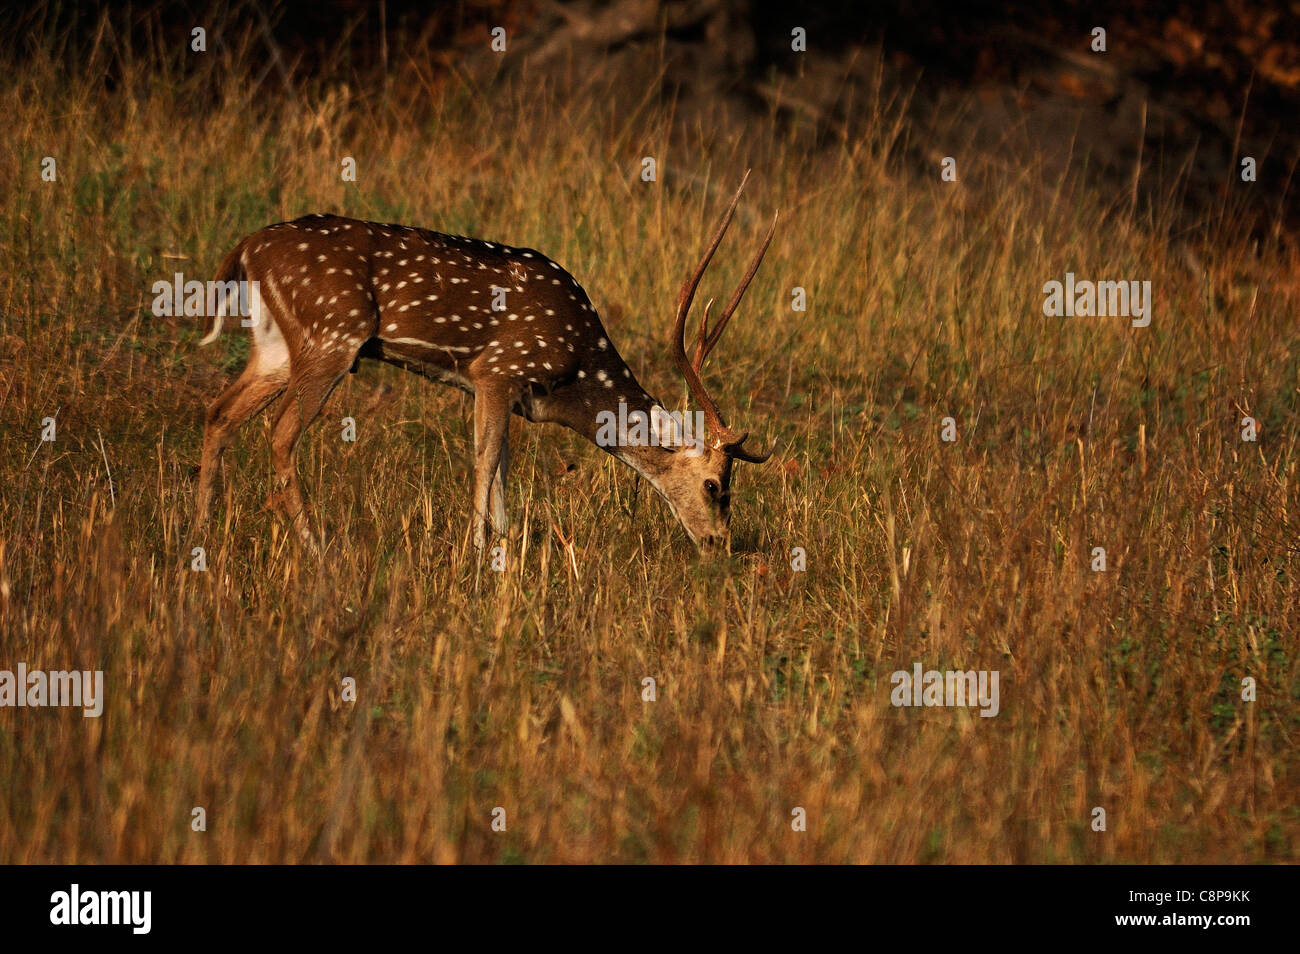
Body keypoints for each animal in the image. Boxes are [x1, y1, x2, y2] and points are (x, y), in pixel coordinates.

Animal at [197, 175, 774, 556]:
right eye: (714, 486)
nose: (720, 544)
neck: (574, 372)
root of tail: (246, 247)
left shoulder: (500, 390)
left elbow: (500, 465)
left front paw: (504, 542)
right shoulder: (497, 370)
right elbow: (484, 458)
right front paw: (476, 551)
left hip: (275, 347)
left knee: (219, 411)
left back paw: (200, 532)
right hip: (331, 335)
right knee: (280, 433)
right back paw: (315, 546)